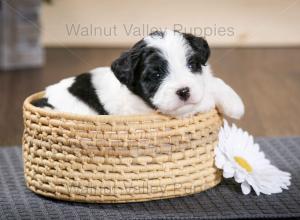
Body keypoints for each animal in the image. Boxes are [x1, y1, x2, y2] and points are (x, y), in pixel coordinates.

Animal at [32, 30, 244, 119]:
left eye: (191, 65)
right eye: (156, 75)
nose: (184, 91)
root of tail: (44, 99)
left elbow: (211, 82)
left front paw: (233, 103)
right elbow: (198, 103)